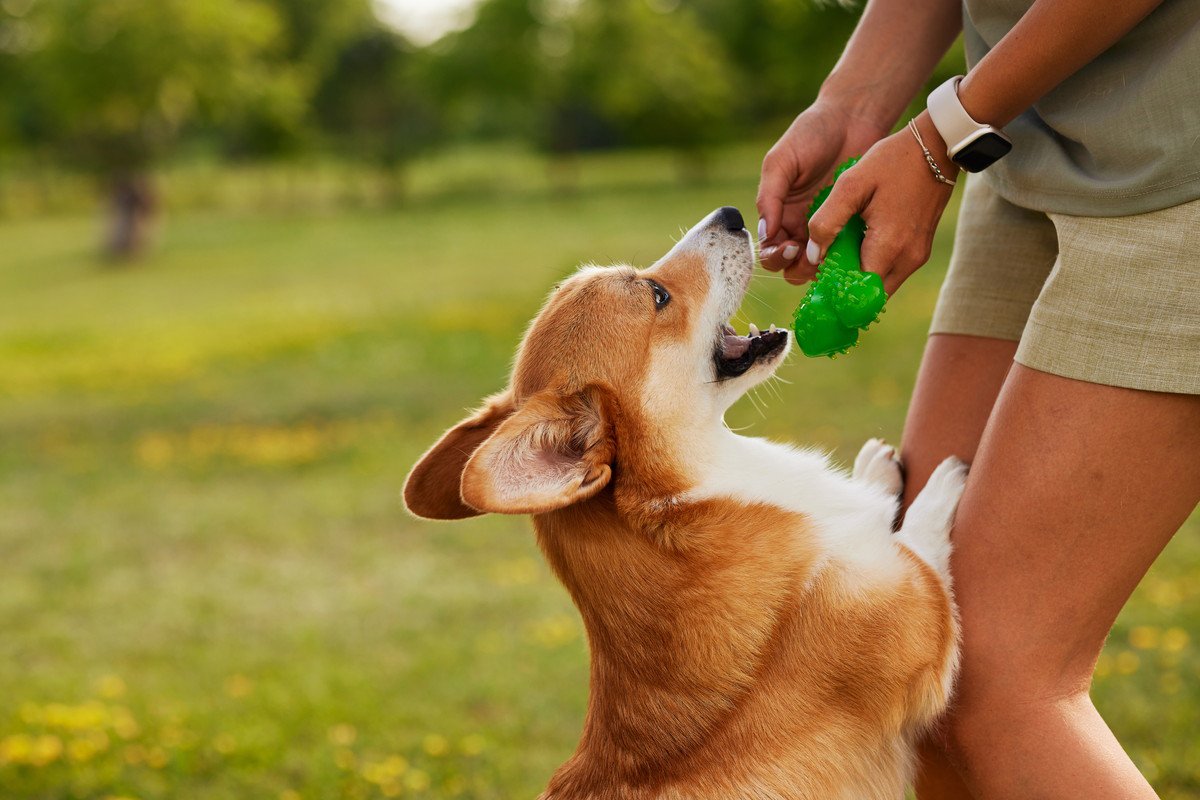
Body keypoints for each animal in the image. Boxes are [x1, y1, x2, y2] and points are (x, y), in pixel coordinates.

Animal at [403, 208, 964, 800]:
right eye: (658, 295)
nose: (732, 215)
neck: (689, 492)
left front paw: (877, 468)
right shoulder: (920, 614)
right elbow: (919, 542)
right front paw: (943, 483)